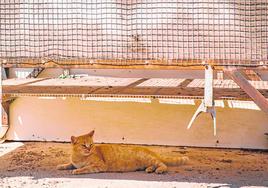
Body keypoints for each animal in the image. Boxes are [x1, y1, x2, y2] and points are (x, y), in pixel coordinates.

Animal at [57, 131, 189, 175]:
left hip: (150, 159)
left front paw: (77, 170)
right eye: (84, 145)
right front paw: (62, 166)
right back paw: (150, 169)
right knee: (153, 165)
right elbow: (69, 164)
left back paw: (159, 170)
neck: (79, 157)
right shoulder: (74, 162)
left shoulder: (99, 165)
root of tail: (149, 150)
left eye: (91, 144)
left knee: (162, 164)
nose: (89, 149)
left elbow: (84, 168)